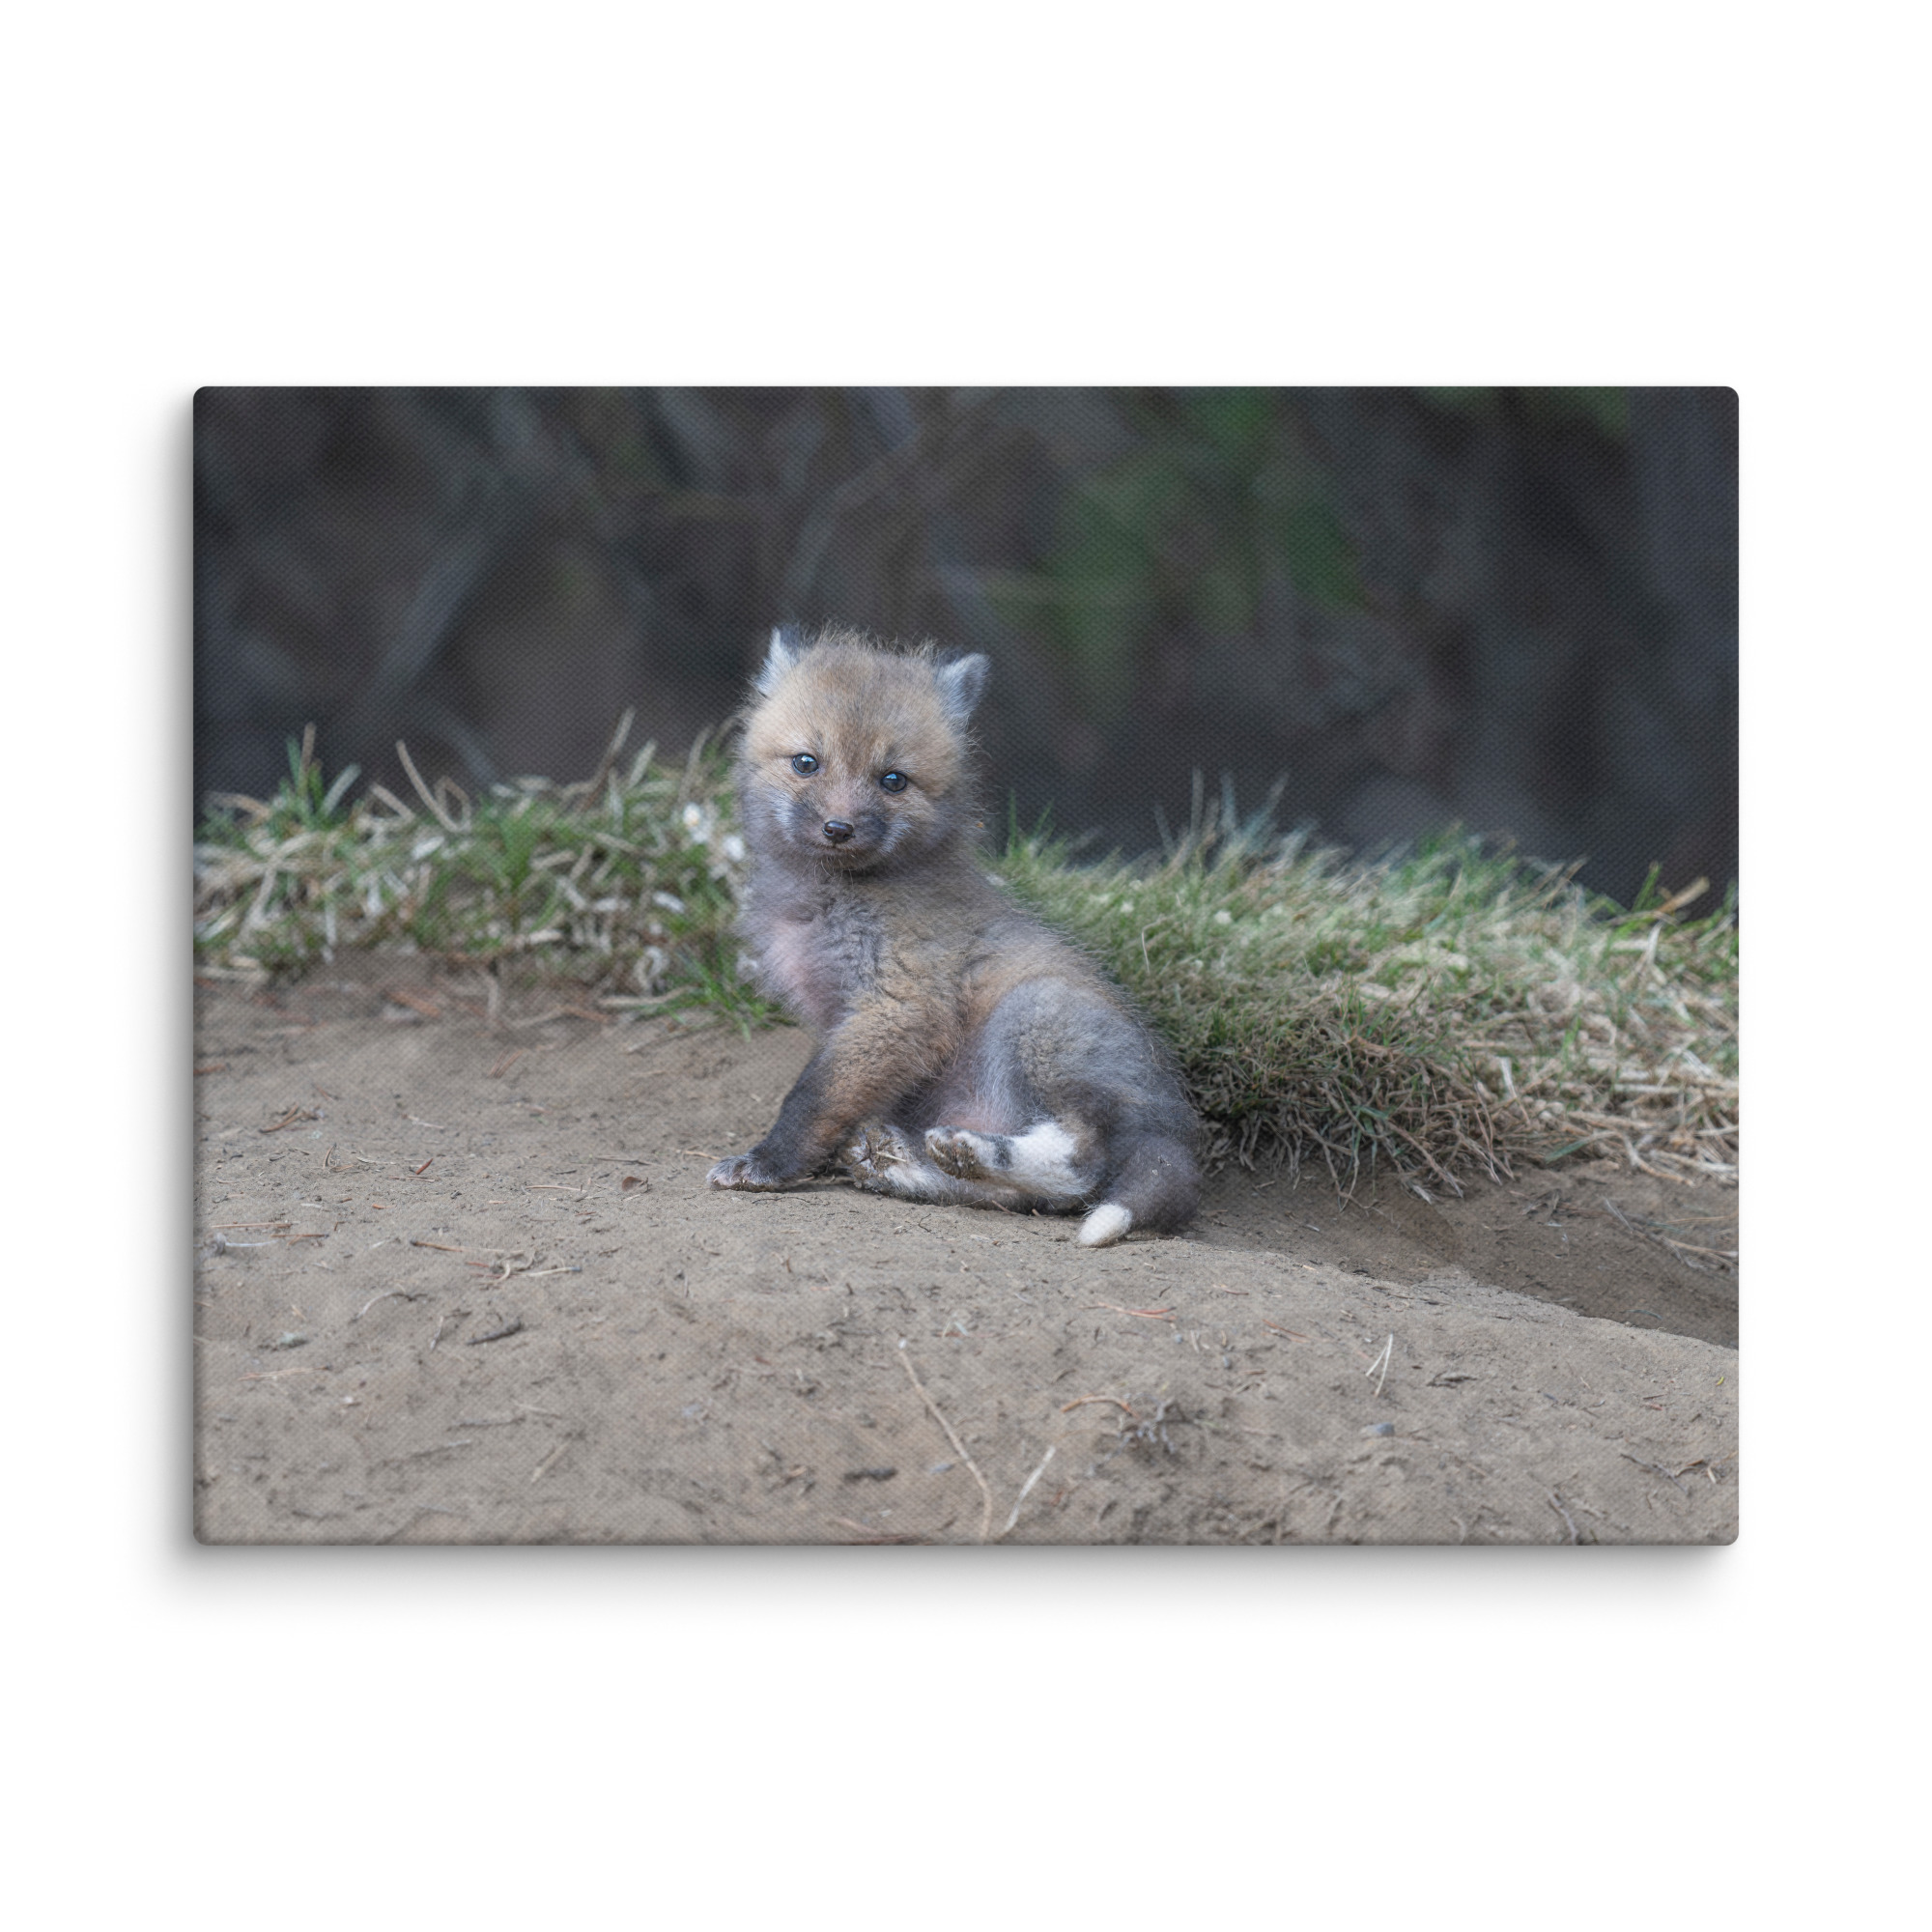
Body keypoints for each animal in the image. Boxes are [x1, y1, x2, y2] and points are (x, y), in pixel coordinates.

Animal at [705, 625, 1201, 1247]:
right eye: (806, 763)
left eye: (893, 780)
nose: (838, 828)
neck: (830, 901)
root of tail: (1175, 1128)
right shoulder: (845, 1018)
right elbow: (833, 1098)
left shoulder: (899, 1005)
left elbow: (812, 1098)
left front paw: (768, 1164)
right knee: (1028, 1198)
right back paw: (909, 1164)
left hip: (1035, 1016)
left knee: (1081, 1165)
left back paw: (969, 1152)